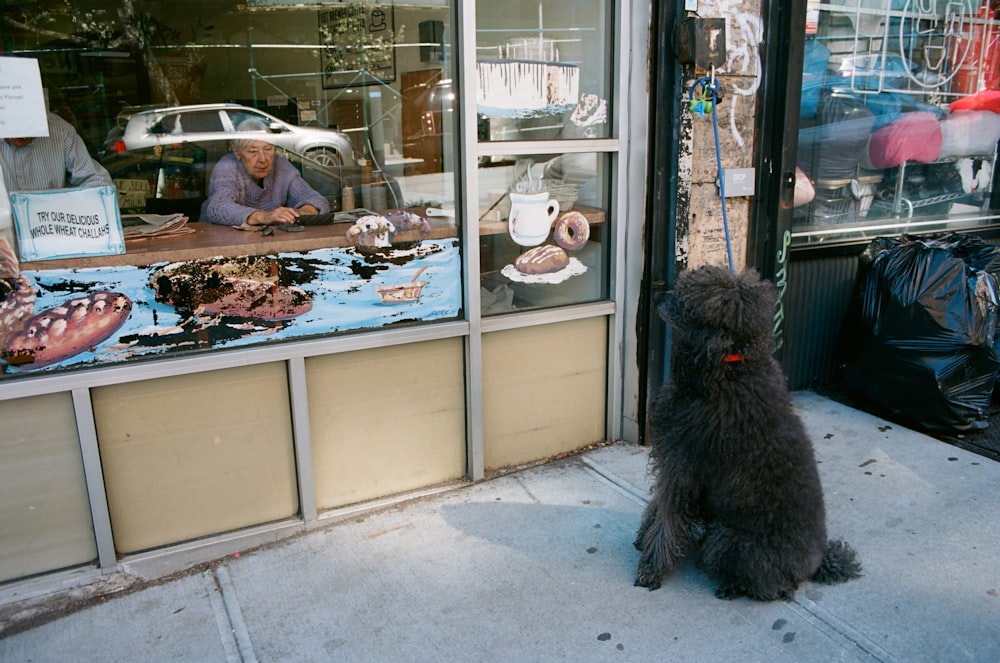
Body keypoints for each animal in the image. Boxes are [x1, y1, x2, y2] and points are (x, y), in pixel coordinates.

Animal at [632, 266, 860, 600]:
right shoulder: (674, 462)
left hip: (729, 540)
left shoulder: (682, 465)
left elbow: (667, 517)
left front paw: (651, 568)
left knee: (775, 586)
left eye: (686, 303)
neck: (728, 370)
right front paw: (643, 537)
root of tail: (816, 562)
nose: (658, 295)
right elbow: (657, 508)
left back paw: (732, 587)